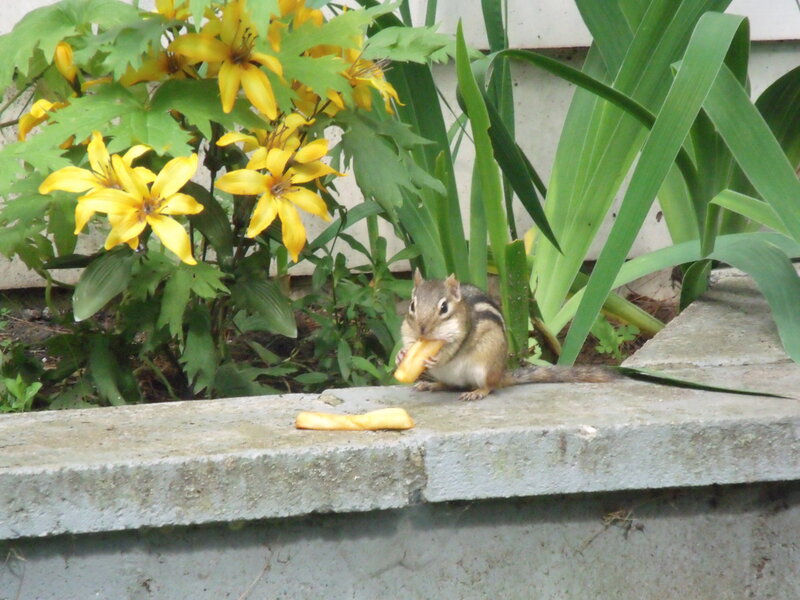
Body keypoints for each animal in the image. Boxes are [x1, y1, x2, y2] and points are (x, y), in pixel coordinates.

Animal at [397, 271, 621, 401]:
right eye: (412, 305)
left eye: (444, 308)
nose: (422, 329)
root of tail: (501, 373)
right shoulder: (407, 329)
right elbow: (408, 341)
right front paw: (401, 355)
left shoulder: (463, 333)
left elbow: (451, 351)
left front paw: (436, 358)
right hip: (448, 375)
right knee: (449, 385)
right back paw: (430, 384)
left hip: (484, 368)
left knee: (490, 386)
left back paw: (476, 392)